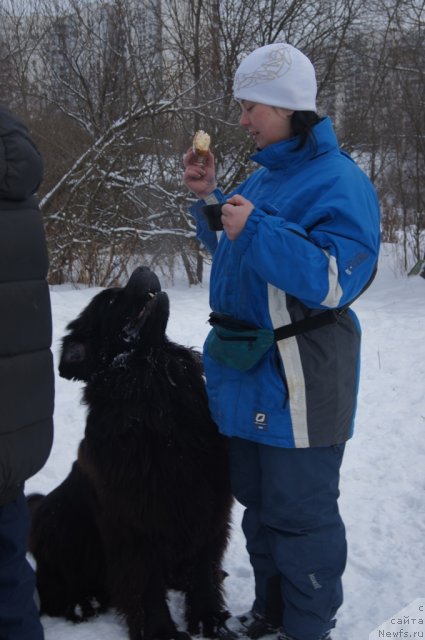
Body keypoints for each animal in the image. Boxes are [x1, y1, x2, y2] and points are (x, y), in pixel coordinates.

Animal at [28, 264, 234, 640]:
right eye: (110, 300)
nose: (143, 267)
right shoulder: (132, 522)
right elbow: (144, 583)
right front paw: (161, 632)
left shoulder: (209, 508)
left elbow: (203, 569)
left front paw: (210, 619)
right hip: (57, 521)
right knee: (50, 591)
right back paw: (83, 603)